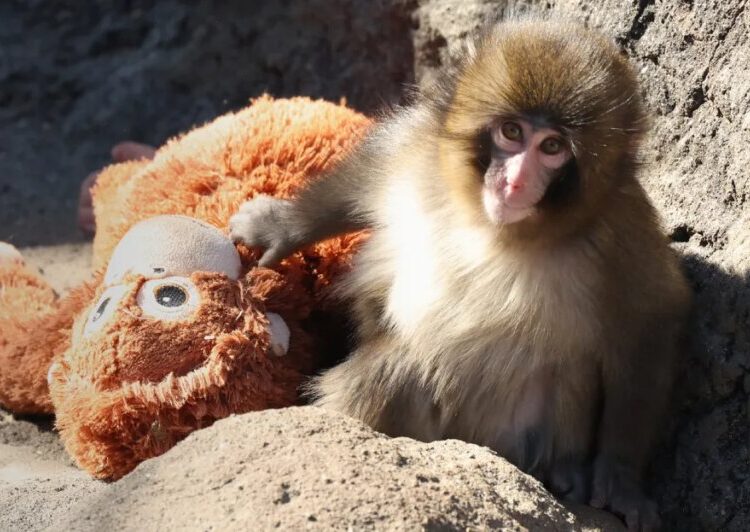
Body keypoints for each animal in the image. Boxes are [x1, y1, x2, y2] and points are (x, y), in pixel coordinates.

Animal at [230, 18, 690, 531]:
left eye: (552, 147)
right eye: (511, 131)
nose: (514, 181)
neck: (494, 228)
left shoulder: (622, 231)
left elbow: (649, 321)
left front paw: (621, 478)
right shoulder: (419, 151)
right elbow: (365, 176)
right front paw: (281, 227)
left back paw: (565, 472)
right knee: (397, 369)